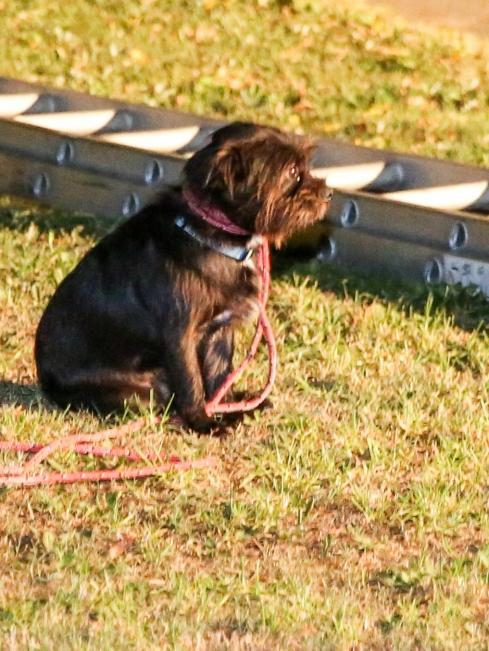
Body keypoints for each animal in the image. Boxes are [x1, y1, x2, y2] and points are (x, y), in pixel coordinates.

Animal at [34, 121, 332, 432]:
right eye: (292, 172)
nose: (327, 193)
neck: (210, 233)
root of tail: (46, 382)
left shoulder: (218, 332)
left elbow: (218, 374)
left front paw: (229, 407)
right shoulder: (180, 335)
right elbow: (191, 382)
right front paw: (204, 423)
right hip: (138, 393)